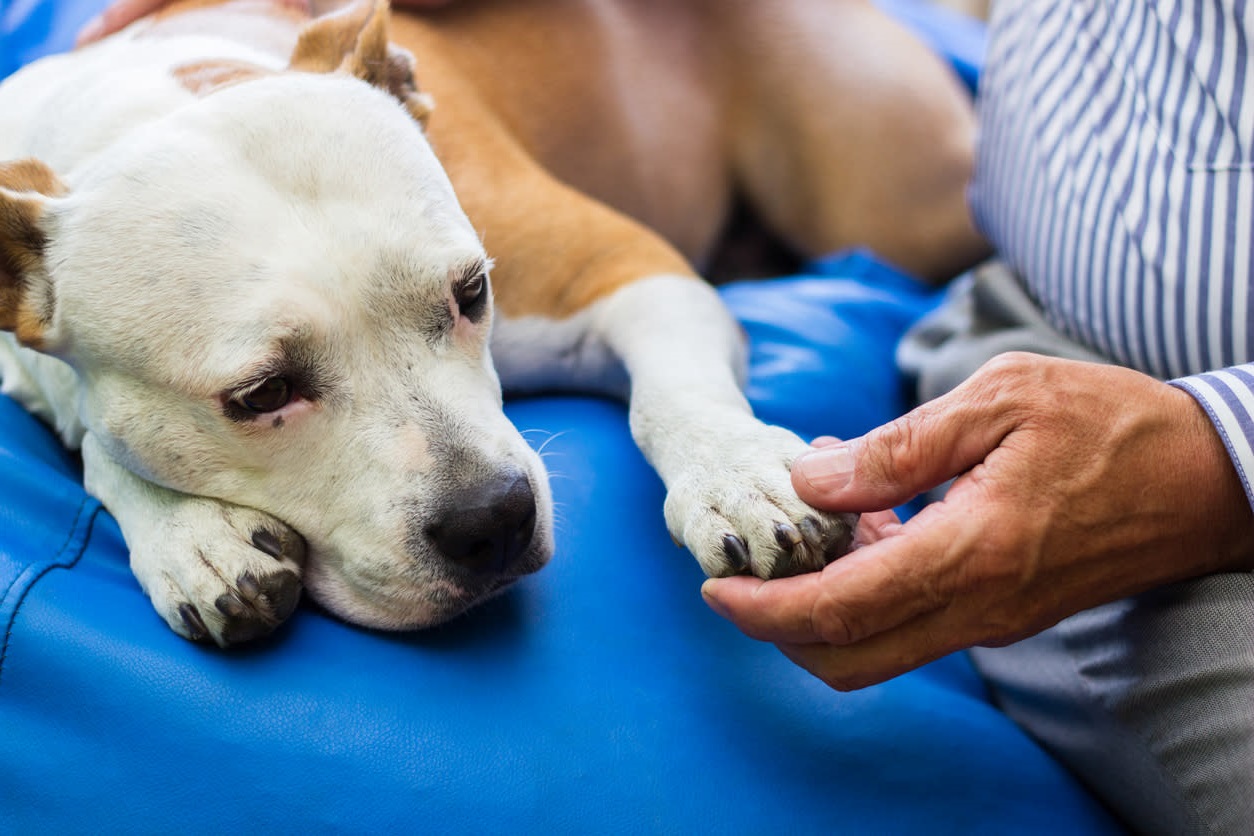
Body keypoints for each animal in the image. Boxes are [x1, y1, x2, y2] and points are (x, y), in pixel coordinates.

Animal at [0, 0, 983, 645]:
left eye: (471, 292)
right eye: (262, 393)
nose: (494, 521)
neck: (154, 99)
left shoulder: (626, 268)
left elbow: (673, 397)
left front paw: (741, 476)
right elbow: (93, 439)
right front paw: (191, 536)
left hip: (892, 197)